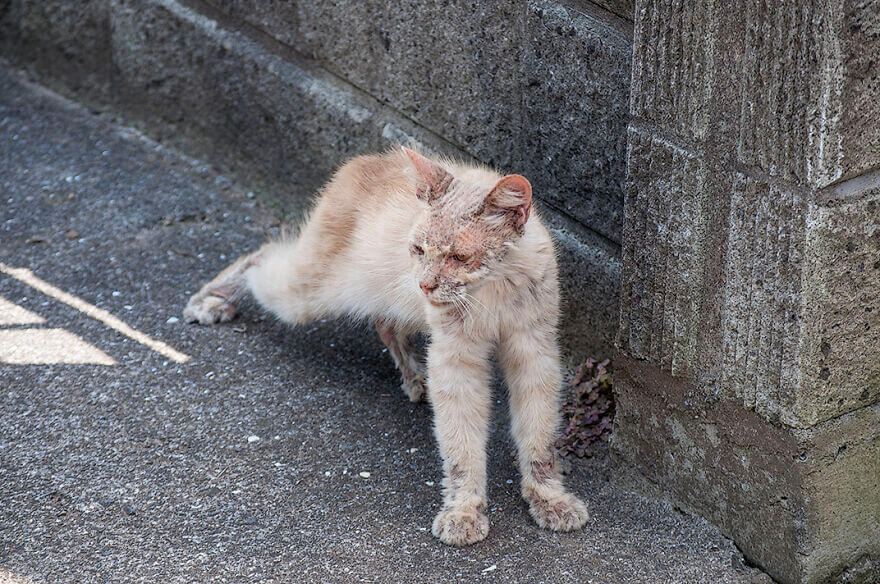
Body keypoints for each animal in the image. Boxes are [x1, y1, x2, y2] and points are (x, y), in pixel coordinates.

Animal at [182, 147, 588, 548]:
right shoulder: (455, 363)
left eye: (458, 257)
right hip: (309, 292)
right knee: (263, 255)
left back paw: (414, 380)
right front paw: (463, 511)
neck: (493, 290)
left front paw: (549, 498)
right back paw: (211, 300)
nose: (426, 284)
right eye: (419, 249)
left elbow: (538, 435)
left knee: (383, 321)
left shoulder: (535, 355)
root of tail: (369, 159)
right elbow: (461, 444)